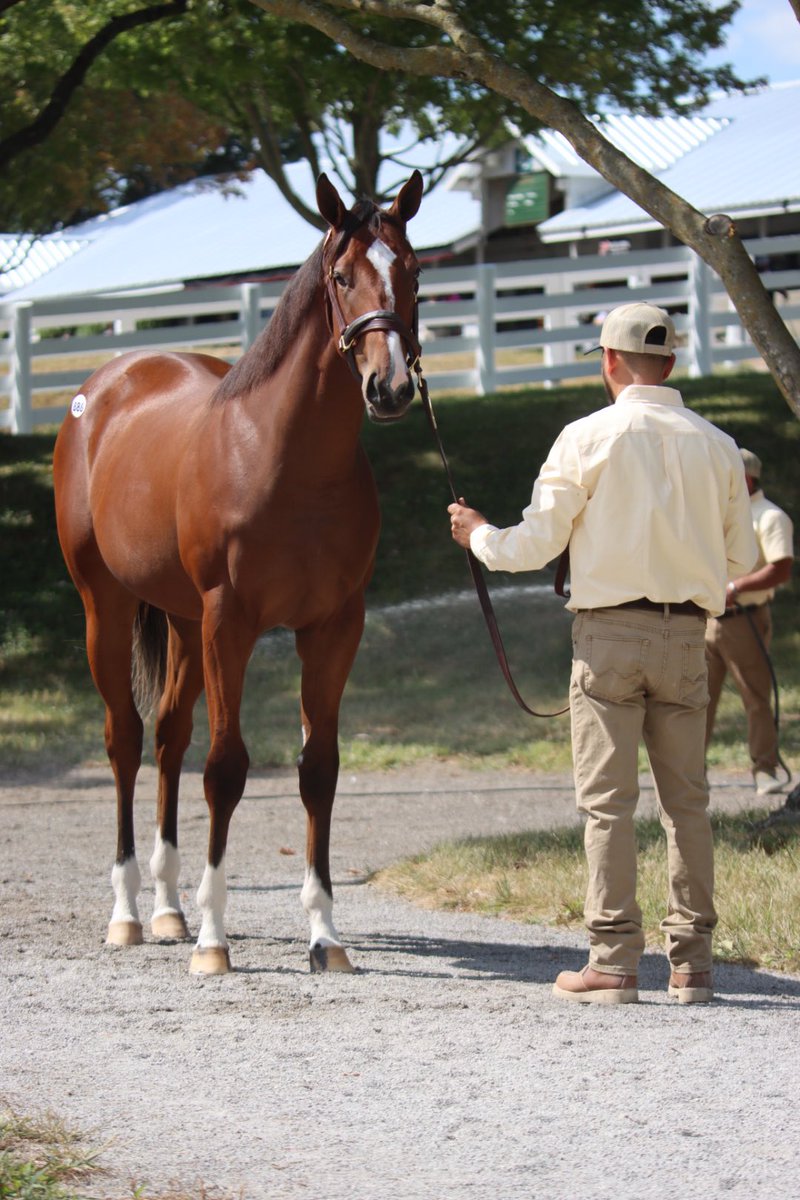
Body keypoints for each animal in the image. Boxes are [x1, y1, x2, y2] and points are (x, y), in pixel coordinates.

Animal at [53, 170, 424, 975]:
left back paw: (168, 910)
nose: (389, 388)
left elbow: (319, 769)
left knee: (167, 737)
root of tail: (109, 384)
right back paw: (128, 915)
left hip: (184, 621)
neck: (285, 461)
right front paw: (214, 940)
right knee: (126, 740)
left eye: (412, 273)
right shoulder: (232, 622)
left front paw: (324, 937)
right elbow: (226, 767)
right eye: (342, 277)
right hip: (106, 606)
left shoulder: (334, 626)